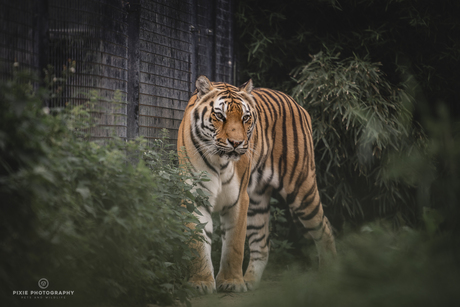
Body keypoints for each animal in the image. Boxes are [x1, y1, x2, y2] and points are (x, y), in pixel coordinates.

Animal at [178, 75, 336, 296]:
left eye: (245, 118)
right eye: (219, 116)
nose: (236, 143)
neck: (218, 159)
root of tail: (296, 102)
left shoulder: (238, 199)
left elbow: (234, 244)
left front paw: (232, 282)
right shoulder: (195, 196)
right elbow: (197, 244)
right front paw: (200, 282)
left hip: (301, 190)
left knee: (325, 227)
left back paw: (330, 274)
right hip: (257, 201)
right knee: (262, 243)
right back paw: (250, 281)